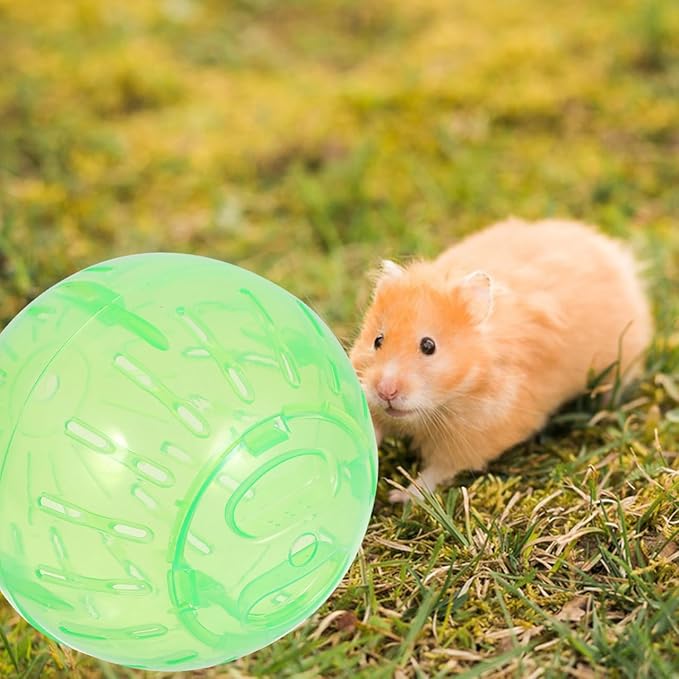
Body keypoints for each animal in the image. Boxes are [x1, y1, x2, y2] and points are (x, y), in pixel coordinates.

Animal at [349, 217, 653, 503]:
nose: (386, 391)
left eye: (428, 346)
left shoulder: (475, 437)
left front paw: (400, 496)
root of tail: (612, 251)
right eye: (377, 340)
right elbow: (373, 427)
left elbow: (437, 471)